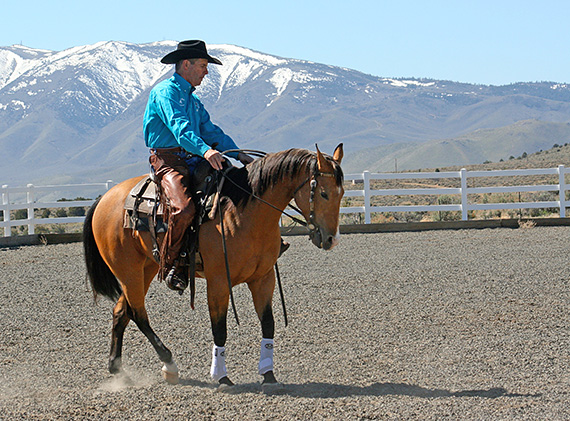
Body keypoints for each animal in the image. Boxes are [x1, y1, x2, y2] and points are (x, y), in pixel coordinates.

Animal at [82, 144, 344, 388]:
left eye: (341, 193)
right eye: (323, 193)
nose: (331, 239)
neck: (243, 212)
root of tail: (104, 199)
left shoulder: (263, 278)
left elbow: (268, 324)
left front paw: (268, 374)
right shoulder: (218, 282)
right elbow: (220, 328)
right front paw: (222, 377)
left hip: (146, 268)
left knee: (121, 311)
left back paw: (117, 368)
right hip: (128, 270)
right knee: (138, 314)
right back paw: (169, 364)